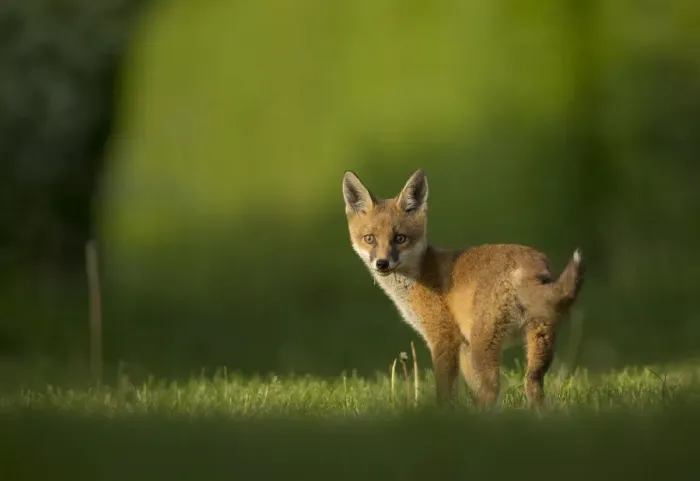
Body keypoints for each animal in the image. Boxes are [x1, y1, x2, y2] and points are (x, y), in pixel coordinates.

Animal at [342, 169, 585, 410]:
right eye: (369, 239)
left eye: (400, 238)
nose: (382, 263)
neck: (418, 275)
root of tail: (533, 265)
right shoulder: (464, 347)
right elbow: (472, 389)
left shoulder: (444, 337)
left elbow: (445, 392)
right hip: (539, 341)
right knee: (531, 385)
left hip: (483, 345)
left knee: (493, 388)